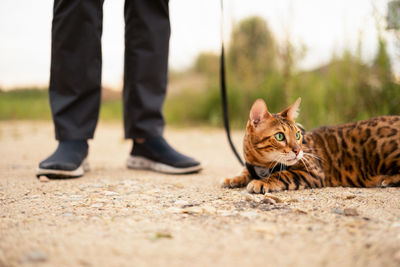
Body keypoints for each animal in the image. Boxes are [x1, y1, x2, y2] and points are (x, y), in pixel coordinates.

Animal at [222, 97, 400, 194]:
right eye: (279, 136)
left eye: (297, 134)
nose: (297, 150)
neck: (261, 164)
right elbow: (245, 172)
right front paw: (234, 178)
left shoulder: (313, 172)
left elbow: (283, 174)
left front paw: (261, 182)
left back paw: (386, 179)